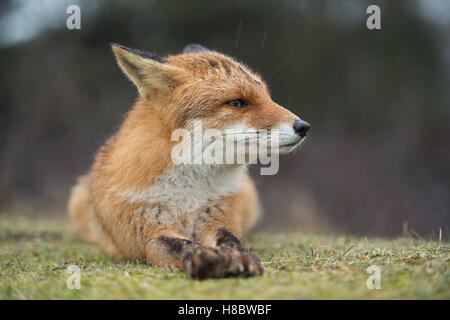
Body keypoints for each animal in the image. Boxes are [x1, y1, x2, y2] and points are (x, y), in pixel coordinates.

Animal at [68, 43, 312, 278]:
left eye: (268, 97)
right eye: (237, 102)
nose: (304, 126)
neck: (187, 197)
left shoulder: (219, 215)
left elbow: (231, 239)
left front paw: (239, 257)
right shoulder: (145, 229)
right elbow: (178, 245)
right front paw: (203, 258)